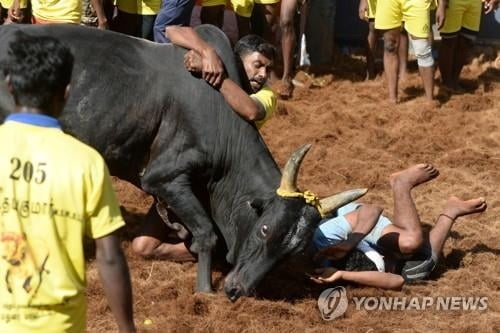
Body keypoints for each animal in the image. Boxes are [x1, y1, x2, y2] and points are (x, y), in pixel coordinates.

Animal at [0, 24, 368, 300]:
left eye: (293, 251)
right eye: (265, 228)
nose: (238, 290)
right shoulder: (164, 177)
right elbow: (207, 234)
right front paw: (205, 289)